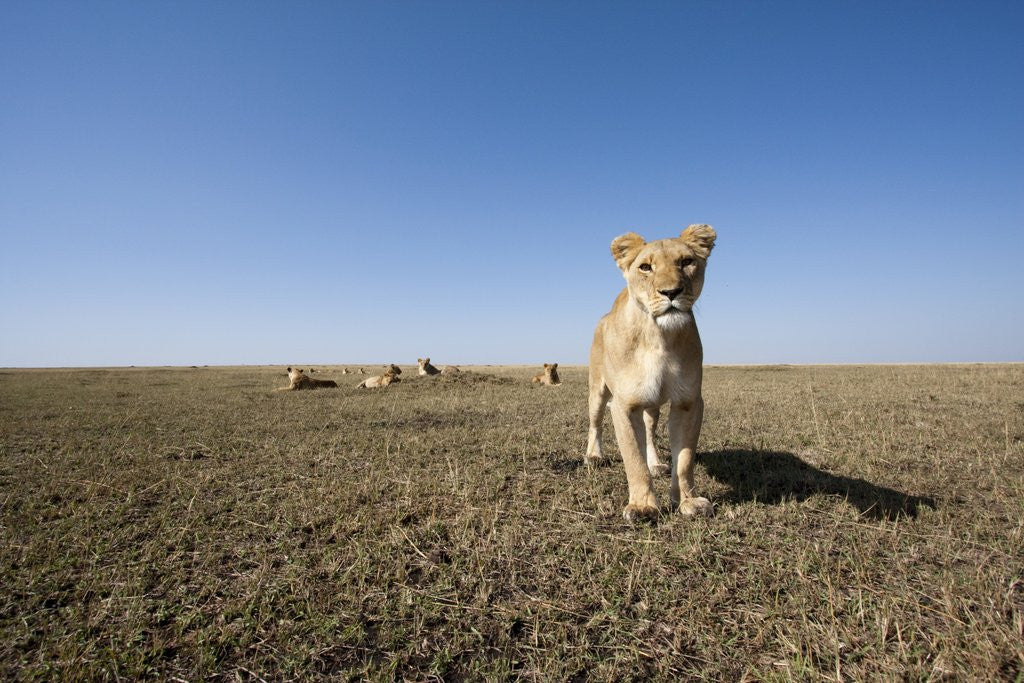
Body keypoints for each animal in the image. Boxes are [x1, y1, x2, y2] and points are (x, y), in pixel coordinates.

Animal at [585, 224, 717, 523]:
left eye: (686, 262)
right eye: (645, 267)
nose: (672, 292)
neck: (659, 337)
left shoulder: (688, 403)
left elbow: (684, 460)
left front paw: (688, 501)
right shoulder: (624, 405)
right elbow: (634, 460)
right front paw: (643, 506)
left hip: (653, 404)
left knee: (649, 431)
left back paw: (656, 463)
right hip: (598, 391)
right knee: (595, 423)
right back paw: (593, 456)